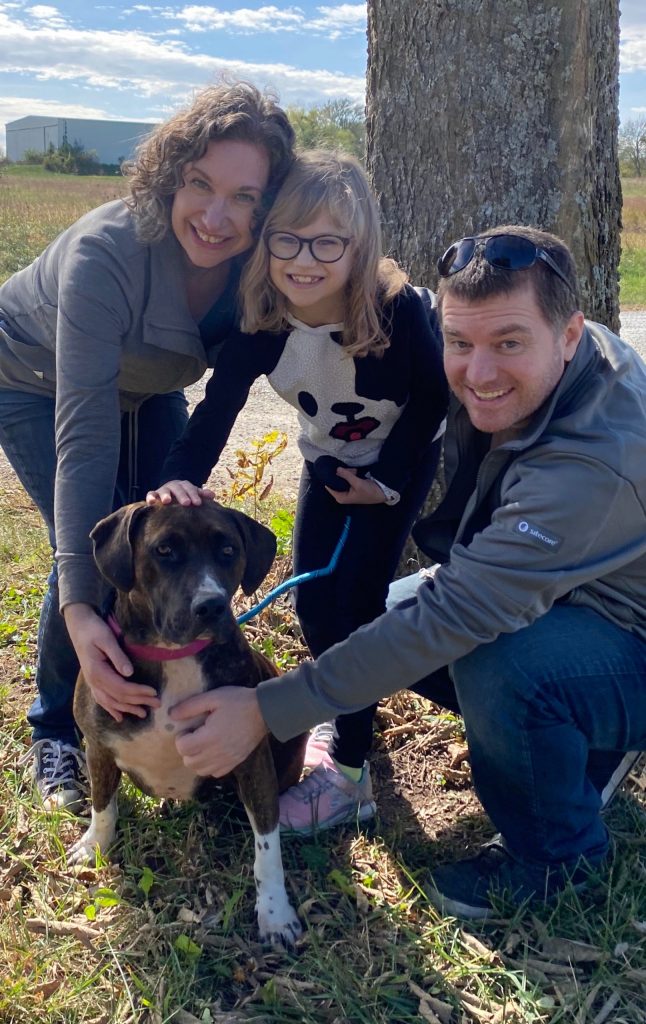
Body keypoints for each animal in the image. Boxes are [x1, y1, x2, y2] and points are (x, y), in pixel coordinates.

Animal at [69, 499, 307, 946]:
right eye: (164, 550)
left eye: (228, 550)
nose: (210, 605)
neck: (173, 657)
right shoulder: (98, 746)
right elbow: (103, 803)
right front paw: (95, 844)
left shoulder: (251, 759)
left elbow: (268, 846)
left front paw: (275, 913)